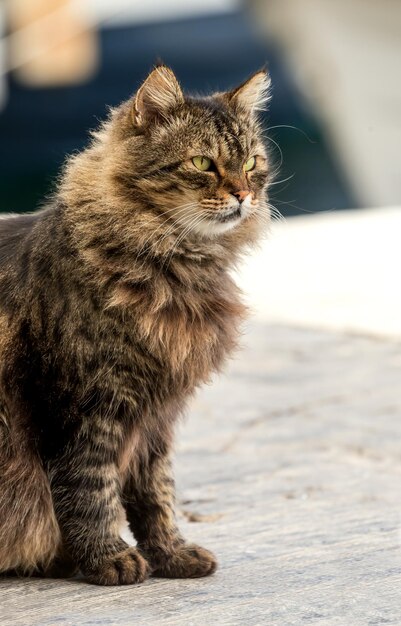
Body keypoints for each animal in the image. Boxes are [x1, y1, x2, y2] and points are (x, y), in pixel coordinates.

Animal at [0, 66, 272, 584]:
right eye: (203, 163)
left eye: (250, 163)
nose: (244, 195)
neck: (175, 266)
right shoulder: (86, 406)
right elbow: (89, 490)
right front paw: (107, 557)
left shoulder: (156, 416)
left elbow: (157, 495)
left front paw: (172, 553)